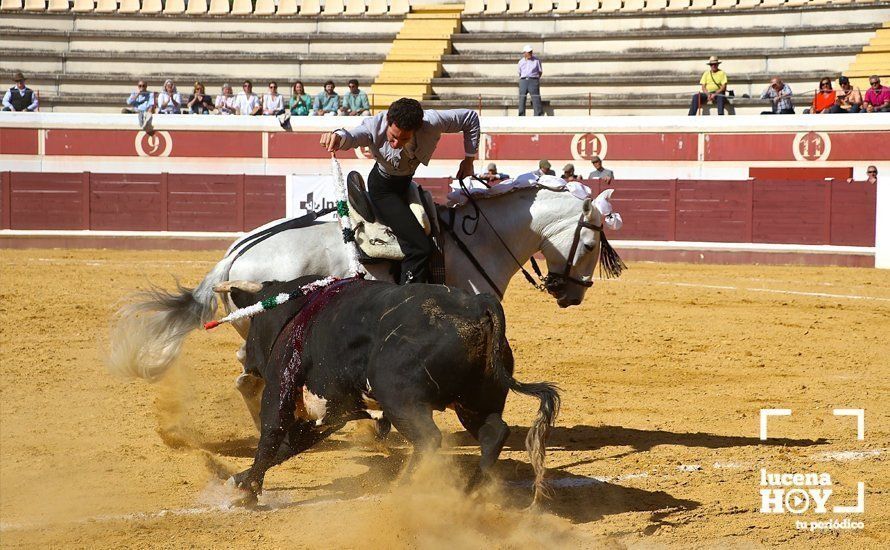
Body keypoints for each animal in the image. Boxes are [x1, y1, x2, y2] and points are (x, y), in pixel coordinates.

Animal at [107, 182, 620, 422]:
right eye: (591, 243)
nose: (573, 293)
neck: (476, 239)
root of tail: (233, 256)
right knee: (254, 380)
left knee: (246, 378)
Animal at [229, 278, 560, 506]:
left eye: (252, 325)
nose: (246, 360)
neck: (296, 313)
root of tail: (478, 305)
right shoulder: (330, 412)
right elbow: (290, 444)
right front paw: (240, 478)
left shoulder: (281, 383)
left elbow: (273, 433)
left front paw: (247, 491)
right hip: (475, 401)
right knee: (493, 432)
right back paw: (470, 490)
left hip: (401, 400)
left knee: (429, 438)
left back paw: (404, 489)